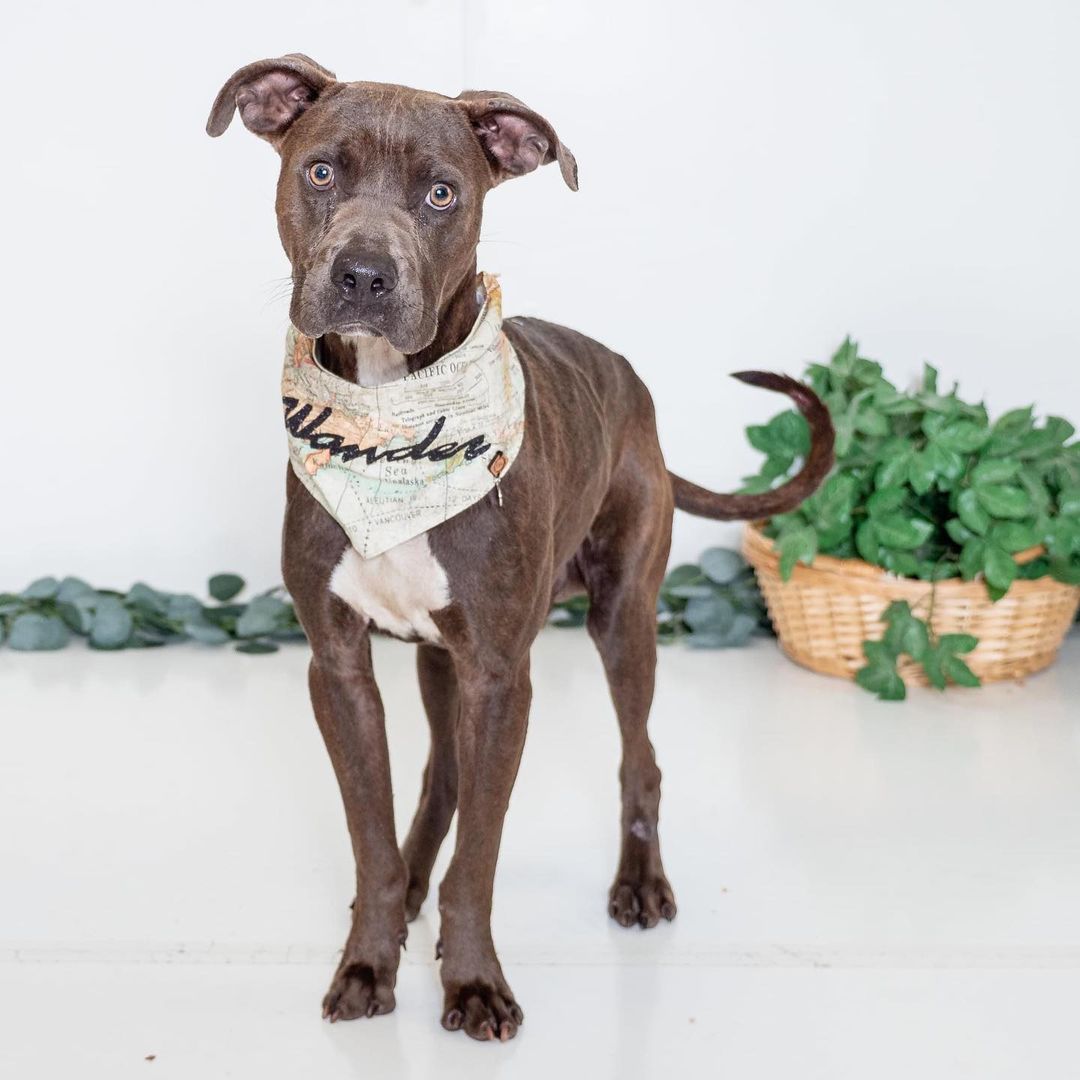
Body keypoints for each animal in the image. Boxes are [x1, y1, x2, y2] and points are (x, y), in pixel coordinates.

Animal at [208, 54, 833, 1041]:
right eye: (321, 173)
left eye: (441, 193)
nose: (363, 275)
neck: (392, 419)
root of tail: (637, 393)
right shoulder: (339, 667)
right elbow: (373, 836)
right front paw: (370, 959)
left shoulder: (503, 677)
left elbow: (482, 859)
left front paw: (471, 984)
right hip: (442, 660)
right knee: (440, 779)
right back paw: (415, 883)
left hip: (623, 617)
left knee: (639, 757)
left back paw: (640, 885)